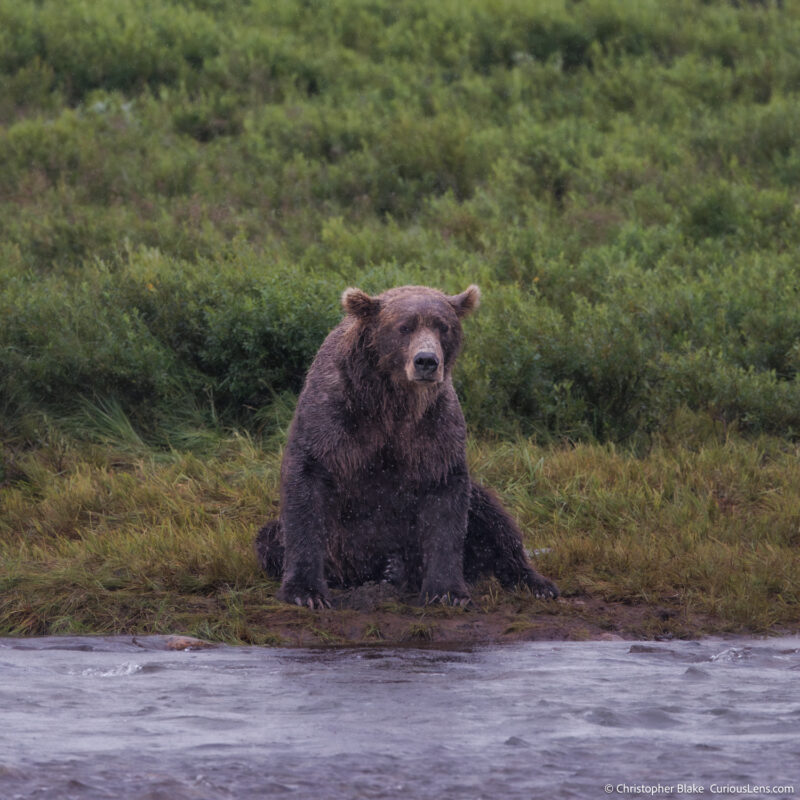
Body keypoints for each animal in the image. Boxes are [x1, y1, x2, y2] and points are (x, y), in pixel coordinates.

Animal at [255, 286, 556, 608]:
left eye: (443, 326)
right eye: (404, 327)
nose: (426, 361)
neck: (393, 400)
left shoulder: (434, 425)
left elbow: (446, 499)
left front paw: (447, 591)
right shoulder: (334, 413)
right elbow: (307, 484)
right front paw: (306, 593)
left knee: (492, 516)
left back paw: (533, 582)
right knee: (268, 540)